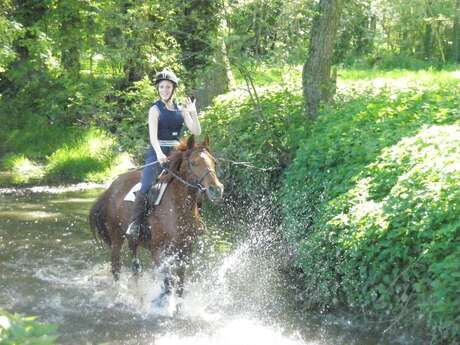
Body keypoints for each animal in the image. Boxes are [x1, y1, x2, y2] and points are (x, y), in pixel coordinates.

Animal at [88, 136, 225, 300]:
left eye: (214, 162)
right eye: (194, 162)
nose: (216, 190)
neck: (177, 208)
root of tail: (111, 188)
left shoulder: (185, 251)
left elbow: (180, 285)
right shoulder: (158, 251)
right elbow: (168, 282)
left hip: (133, 239)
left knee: (136, 267)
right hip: (116, 237)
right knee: (116, 266)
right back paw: (119, 294)